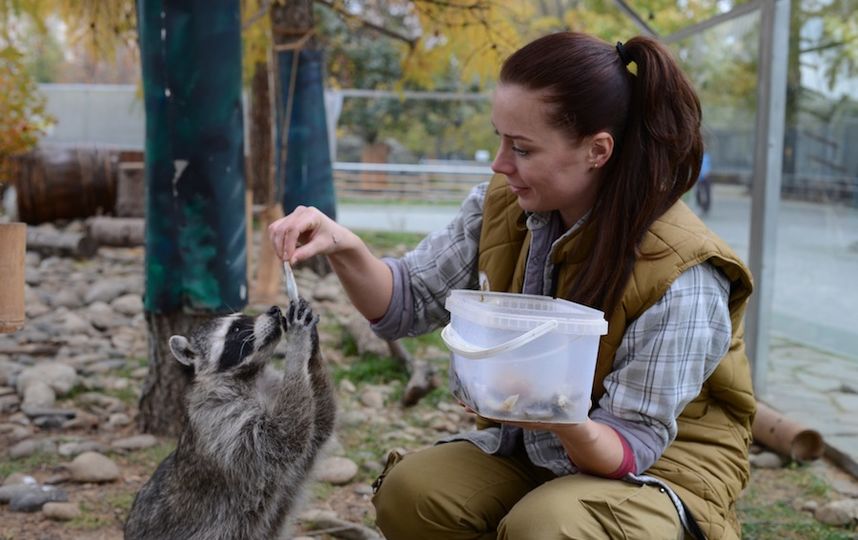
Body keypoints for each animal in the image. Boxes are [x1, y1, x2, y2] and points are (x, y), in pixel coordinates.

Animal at [125, 300, 336, 540]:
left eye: (245, 316)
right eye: (235, 328)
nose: (274, 310)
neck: (252, 376)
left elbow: (320, 427)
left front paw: (313, 345)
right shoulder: (222, 419)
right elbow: (282, 438)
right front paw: (297, 346)